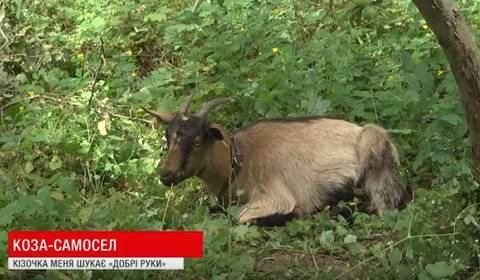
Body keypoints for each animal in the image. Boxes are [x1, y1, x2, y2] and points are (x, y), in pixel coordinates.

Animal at [142, 96, 408, 225]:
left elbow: (238, 219)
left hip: (372, 163)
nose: (166, 175)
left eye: (197, 141)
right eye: (167, 137)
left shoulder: (273, 197)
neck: (239, 162)